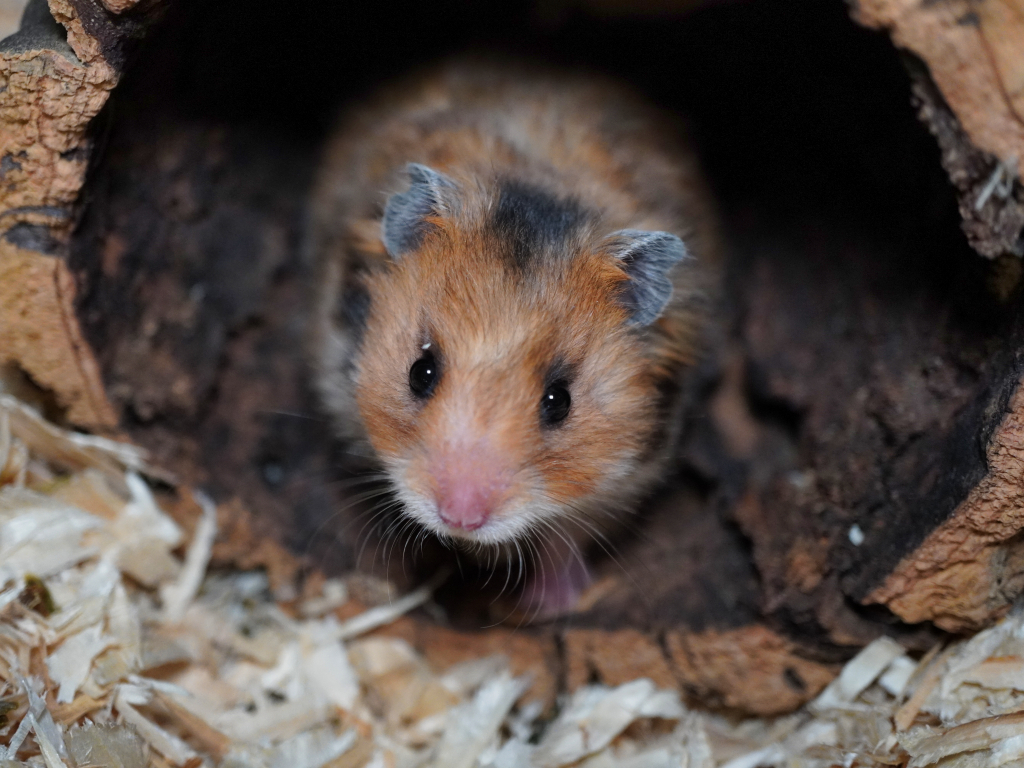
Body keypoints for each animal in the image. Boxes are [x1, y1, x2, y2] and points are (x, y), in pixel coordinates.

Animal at [307, 60, 716, 618]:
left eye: (559, 401)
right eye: (419, 373)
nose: (460, 518)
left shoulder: (624, 482)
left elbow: (565, 535)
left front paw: (556, 602)